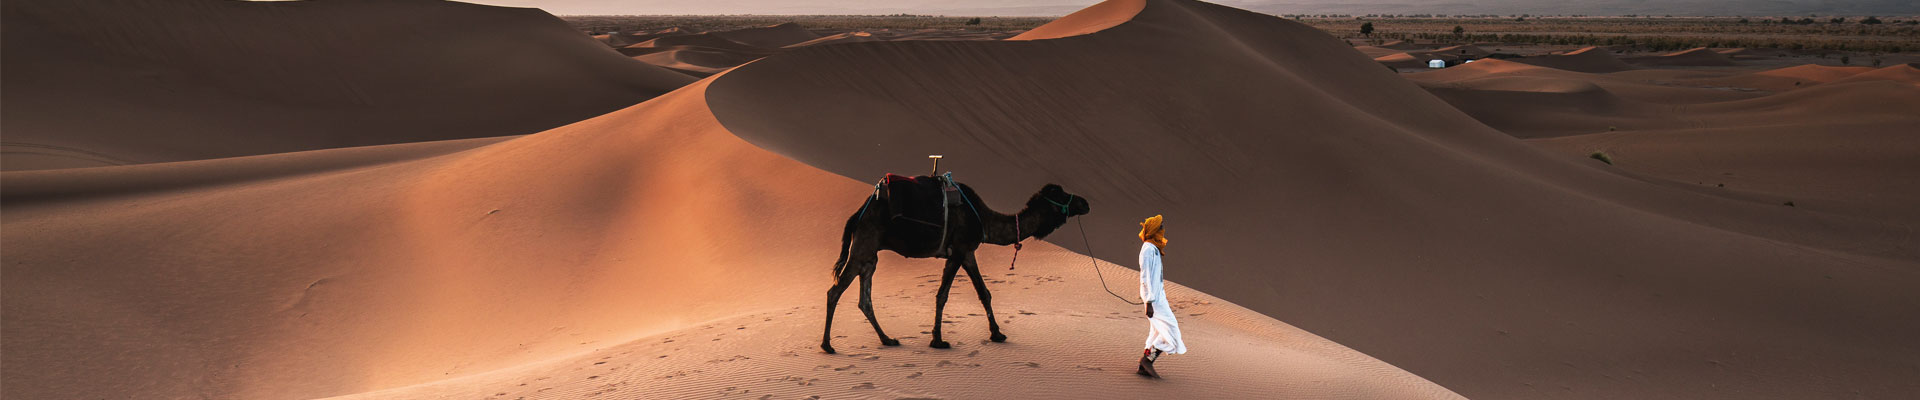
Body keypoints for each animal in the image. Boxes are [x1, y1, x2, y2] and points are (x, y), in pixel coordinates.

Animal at [821, 176, 1090, 353]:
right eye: (1061, 195)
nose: (1085, 203)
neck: (984, 219)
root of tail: (858, 213)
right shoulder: (958, 250)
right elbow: (942, 295)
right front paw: (938, 340)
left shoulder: (968, 252)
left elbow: (984, 292)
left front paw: (998, 334)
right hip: (863, 246)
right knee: (834, 291)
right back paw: (827, 345)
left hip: (870, 256)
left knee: (864, 299)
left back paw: (888, 340)